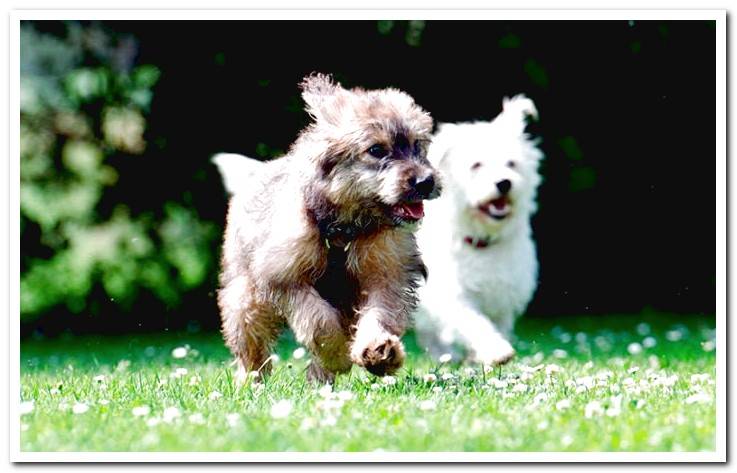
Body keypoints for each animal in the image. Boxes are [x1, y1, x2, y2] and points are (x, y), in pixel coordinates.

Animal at [210, 74, 440, 384]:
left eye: (418, 144)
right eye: (376, 150)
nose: (426, 181)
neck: (345, 229)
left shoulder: (386, 273)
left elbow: (380, 312)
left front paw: (378, 350)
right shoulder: (283, 276)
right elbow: (318, 321)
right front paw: (338, 354)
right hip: (245, 298)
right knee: (251, 345)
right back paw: (251, 382)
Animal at [412, 96, 544, 366]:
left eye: (511, 163)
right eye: (476, 165)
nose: (504, 183)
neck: (483, 240)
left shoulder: (503, 298)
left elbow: (497, 324)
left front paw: (480, 357)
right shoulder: (454, 295)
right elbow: (474, 323)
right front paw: (495, 350)